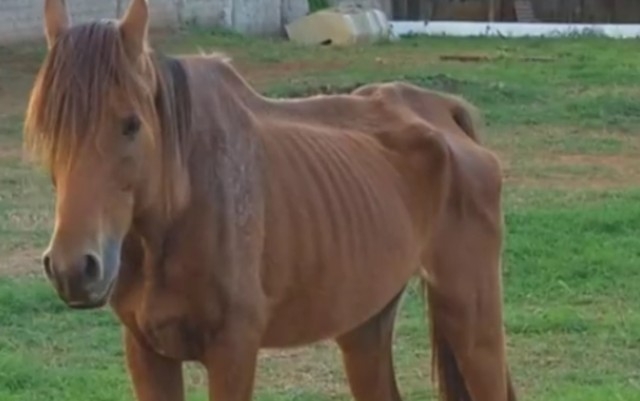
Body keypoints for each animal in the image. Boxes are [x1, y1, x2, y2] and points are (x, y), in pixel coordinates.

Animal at [23, 0, 520, 400]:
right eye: (47, 128)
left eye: (131, 124)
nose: (73, 269)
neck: (184, 207)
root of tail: (443, 113)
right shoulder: (147, 352)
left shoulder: (233, 351)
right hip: (366, 325)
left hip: (471, 318)